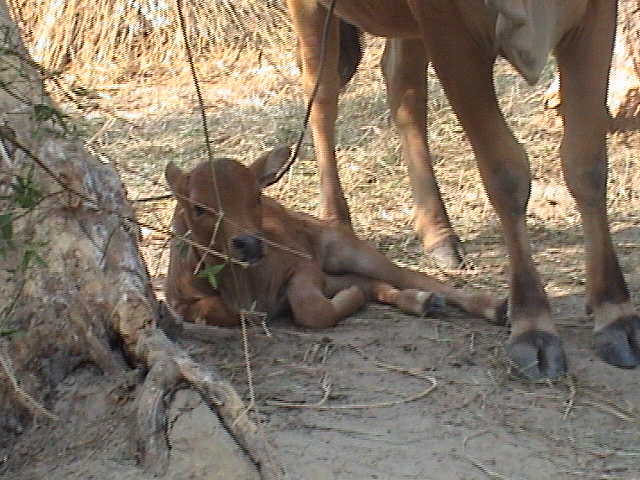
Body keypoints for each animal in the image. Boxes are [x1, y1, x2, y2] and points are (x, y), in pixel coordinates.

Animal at [164, 146, 504, 334]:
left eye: (257, 196)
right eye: (198, 208)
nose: (249, 243)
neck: (241, 282)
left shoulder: (302, 265)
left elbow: (311, 309)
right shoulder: (179, 301)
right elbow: (221, 312)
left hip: (345, 249)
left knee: (414, 276)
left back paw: (491, 306)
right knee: (374, 284)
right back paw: (420, 301)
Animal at [287, 0, 640, 378]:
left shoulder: (596, 13)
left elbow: (586, 163)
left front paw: (614, 313)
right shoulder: (449, 31)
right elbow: (504, 171)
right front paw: (532, 323)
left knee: (403, 88)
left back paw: (438, 233)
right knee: (322, 93)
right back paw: (336, 217)